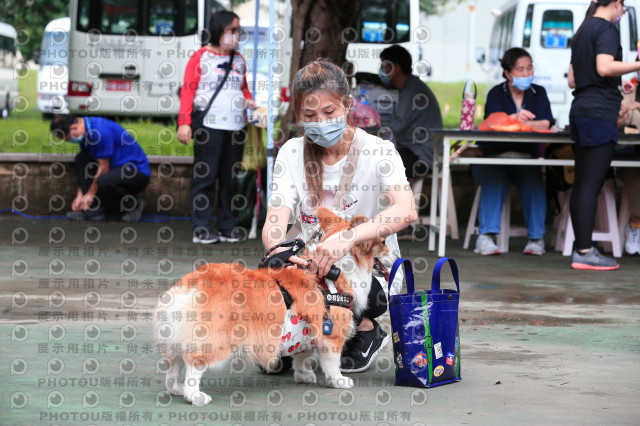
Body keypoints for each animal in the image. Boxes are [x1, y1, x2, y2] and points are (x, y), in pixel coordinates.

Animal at [154, 206, 390, 406]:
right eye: (383, 242)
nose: (392, 253)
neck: (336, 270)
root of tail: (192, 283)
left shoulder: (305, 332)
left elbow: (302, 356)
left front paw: (304, 376)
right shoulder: (331, 336)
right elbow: (332, 364)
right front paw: (338, 381)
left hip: (173, 337)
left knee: (173, 365)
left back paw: (176, 389)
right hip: (216, 340)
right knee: (194, 364)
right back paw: (194, 396)